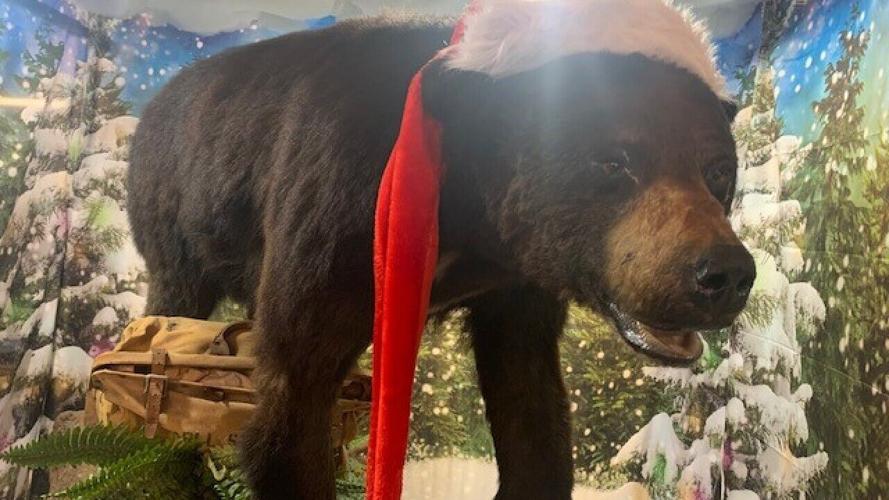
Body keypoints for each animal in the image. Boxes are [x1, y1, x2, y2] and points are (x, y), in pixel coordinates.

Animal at [127, 2, 755, 499]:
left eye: (719, 170)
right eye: (612, 161)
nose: (724, 273)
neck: (471, 220)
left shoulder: (515, 288)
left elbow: (531, 406)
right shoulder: (335, 209)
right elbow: (293, 390)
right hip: (175, 221)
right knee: (174, 300)